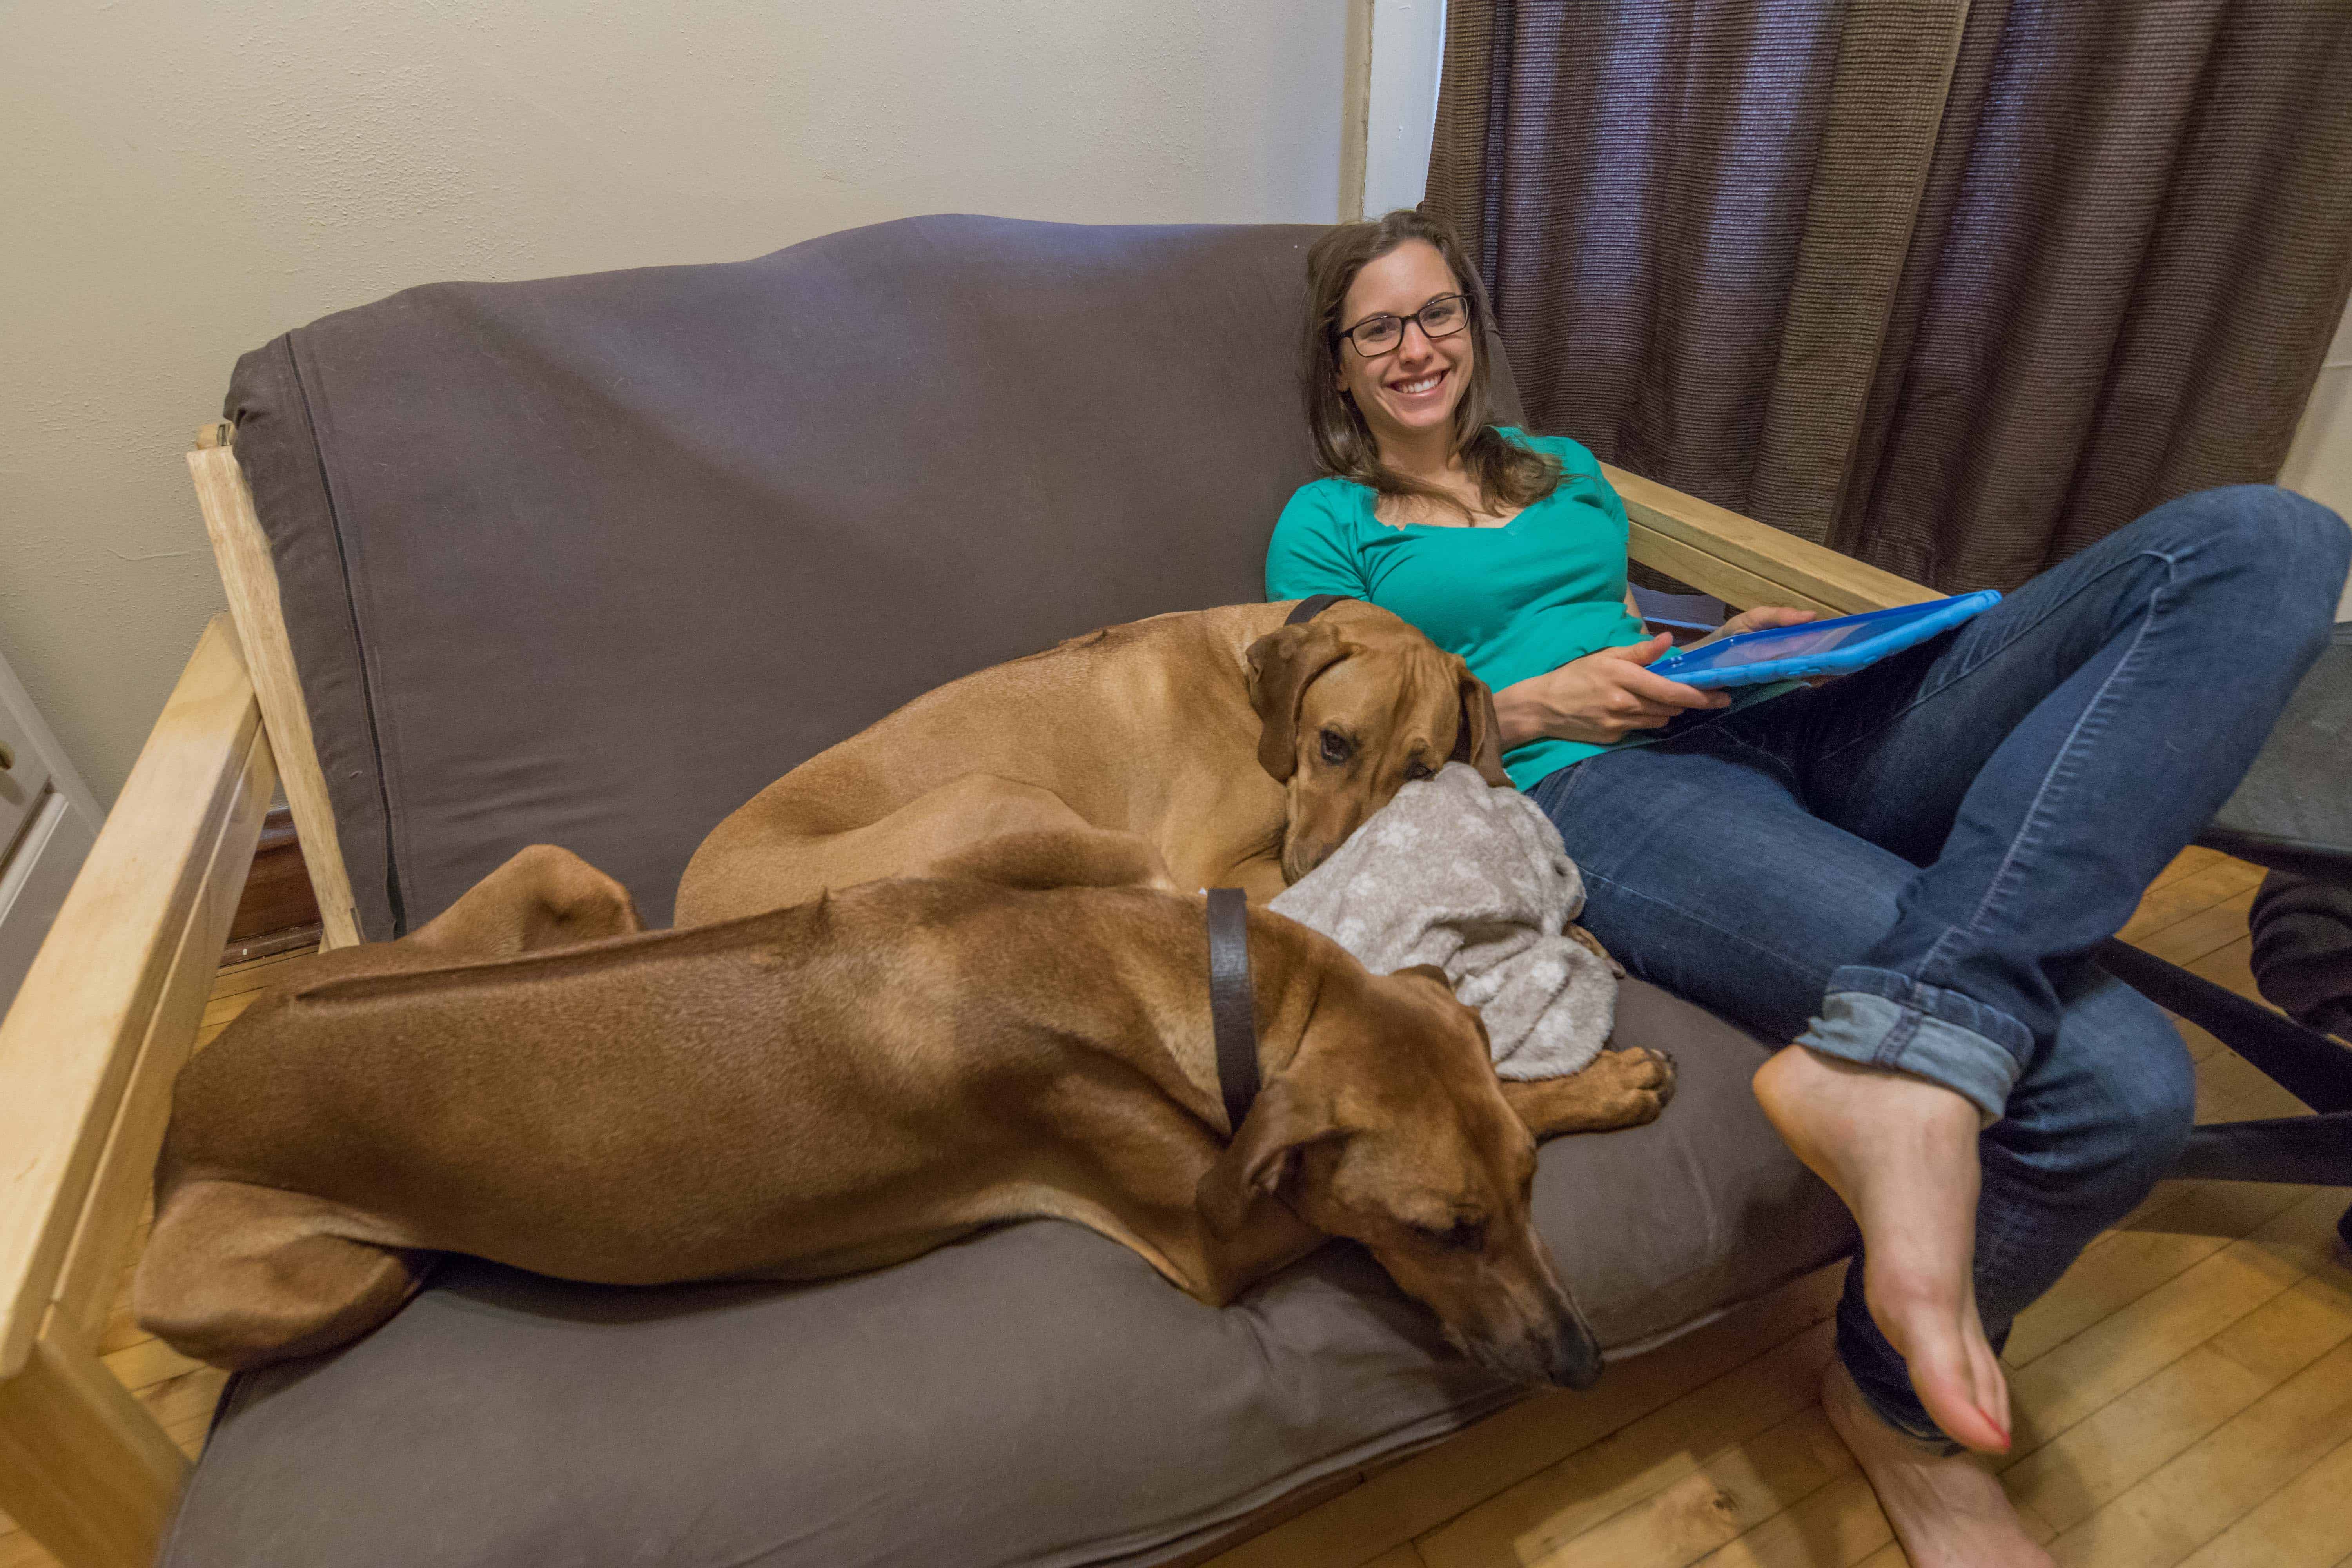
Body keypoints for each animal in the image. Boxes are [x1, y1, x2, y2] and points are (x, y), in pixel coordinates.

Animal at [138, 851, 1675, 1382]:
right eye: (1441, 1229)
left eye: (1526, 1195)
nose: (1583, 1361)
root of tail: (190, 1085)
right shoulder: (1213, 1236)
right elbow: (1289, 1212)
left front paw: (1595, 1077)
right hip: (260, 1284)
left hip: (547, 882)